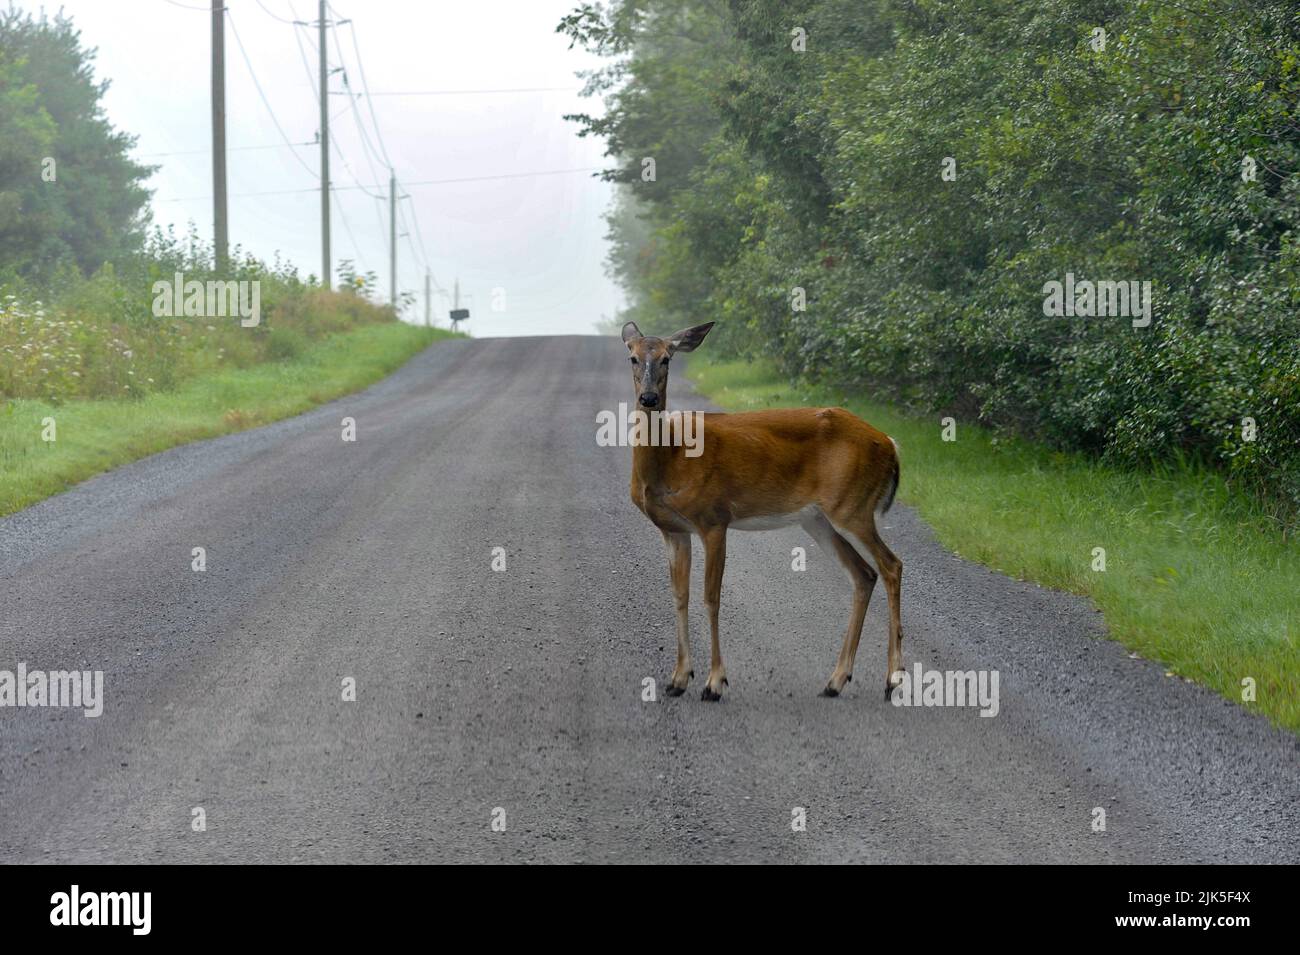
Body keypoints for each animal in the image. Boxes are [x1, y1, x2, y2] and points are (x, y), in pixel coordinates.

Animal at [621, 320, 904, 701]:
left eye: (667, 357)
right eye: (633, 357)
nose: (648, 398)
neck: (672, 459)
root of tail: (890, 443)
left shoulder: (714, 517)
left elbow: (711, 597)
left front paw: (714, 683)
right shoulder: (673, 529)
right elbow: (680, 595)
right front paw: (678, 679)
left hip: (852, 506)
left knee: (891, 566)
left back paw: (893, 680)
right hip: (818, 519)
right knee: (864, 574)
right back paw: (835, 680)